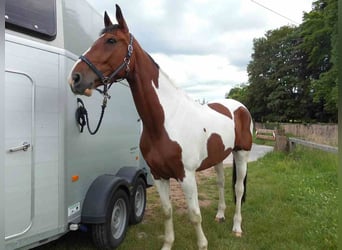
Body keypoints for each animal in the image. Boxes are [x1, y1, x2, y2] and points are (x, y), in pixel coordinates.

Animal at [68, 4, 252, 250]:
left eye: (111, 41)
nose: (75, 78)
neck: (165, 121)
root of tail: (239, 107)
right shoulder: (158, 175)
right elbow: (167, 211)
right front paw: (167, 244)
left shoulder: (186, 176)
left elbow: (195, 215)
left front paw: (202, 244)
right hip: (219, 157)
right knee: (222, 183)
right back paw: (220, 215)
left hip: (241, 153)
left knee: (239, 189)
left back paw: (237, 227)